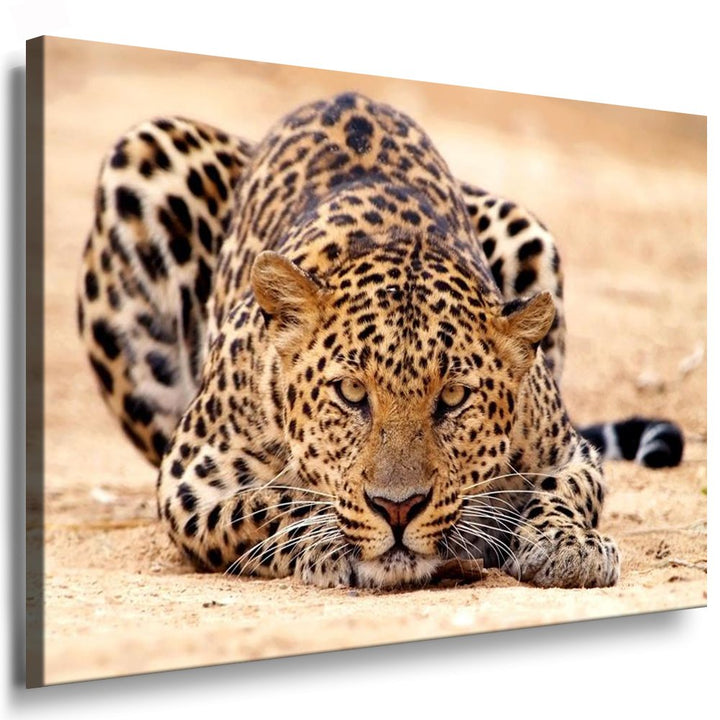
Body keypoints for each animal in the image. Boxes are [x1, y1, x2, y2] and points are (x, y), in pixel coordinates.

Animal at [77, 92, 684, 589]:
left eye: (453, 398)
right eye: (350, 393)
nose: (398, 509)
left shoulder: (569, 451)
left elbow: (565, 492)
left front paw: (568, 544)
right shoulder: (191, 480)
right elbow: (270, 502)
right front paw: (328, 540)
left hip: (524, 227)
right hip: (146, 154)